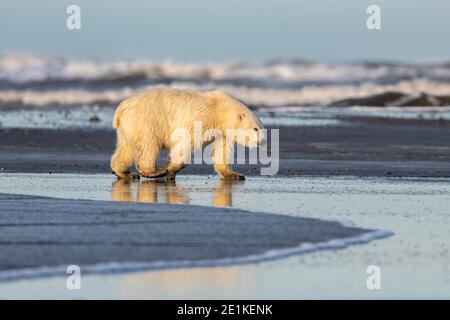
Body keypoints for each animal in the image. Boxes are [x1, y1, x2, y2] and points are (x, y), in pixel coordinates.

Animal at [110, 88, 264, 180]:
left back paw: (125, 173)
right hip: (145, 121)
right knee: (148, 146)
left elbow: (222, 151)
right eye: (255, 129)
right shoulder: (199, 119)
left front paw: (234, 175)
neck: (219, 110)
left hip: (129, 127)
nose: (262, 141)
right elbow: (184, 142)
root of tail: (121, 109)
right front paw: (170, 169)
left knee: (127, 148)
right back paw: (154, 171)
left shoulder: (222, 132)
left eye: (261, 128)